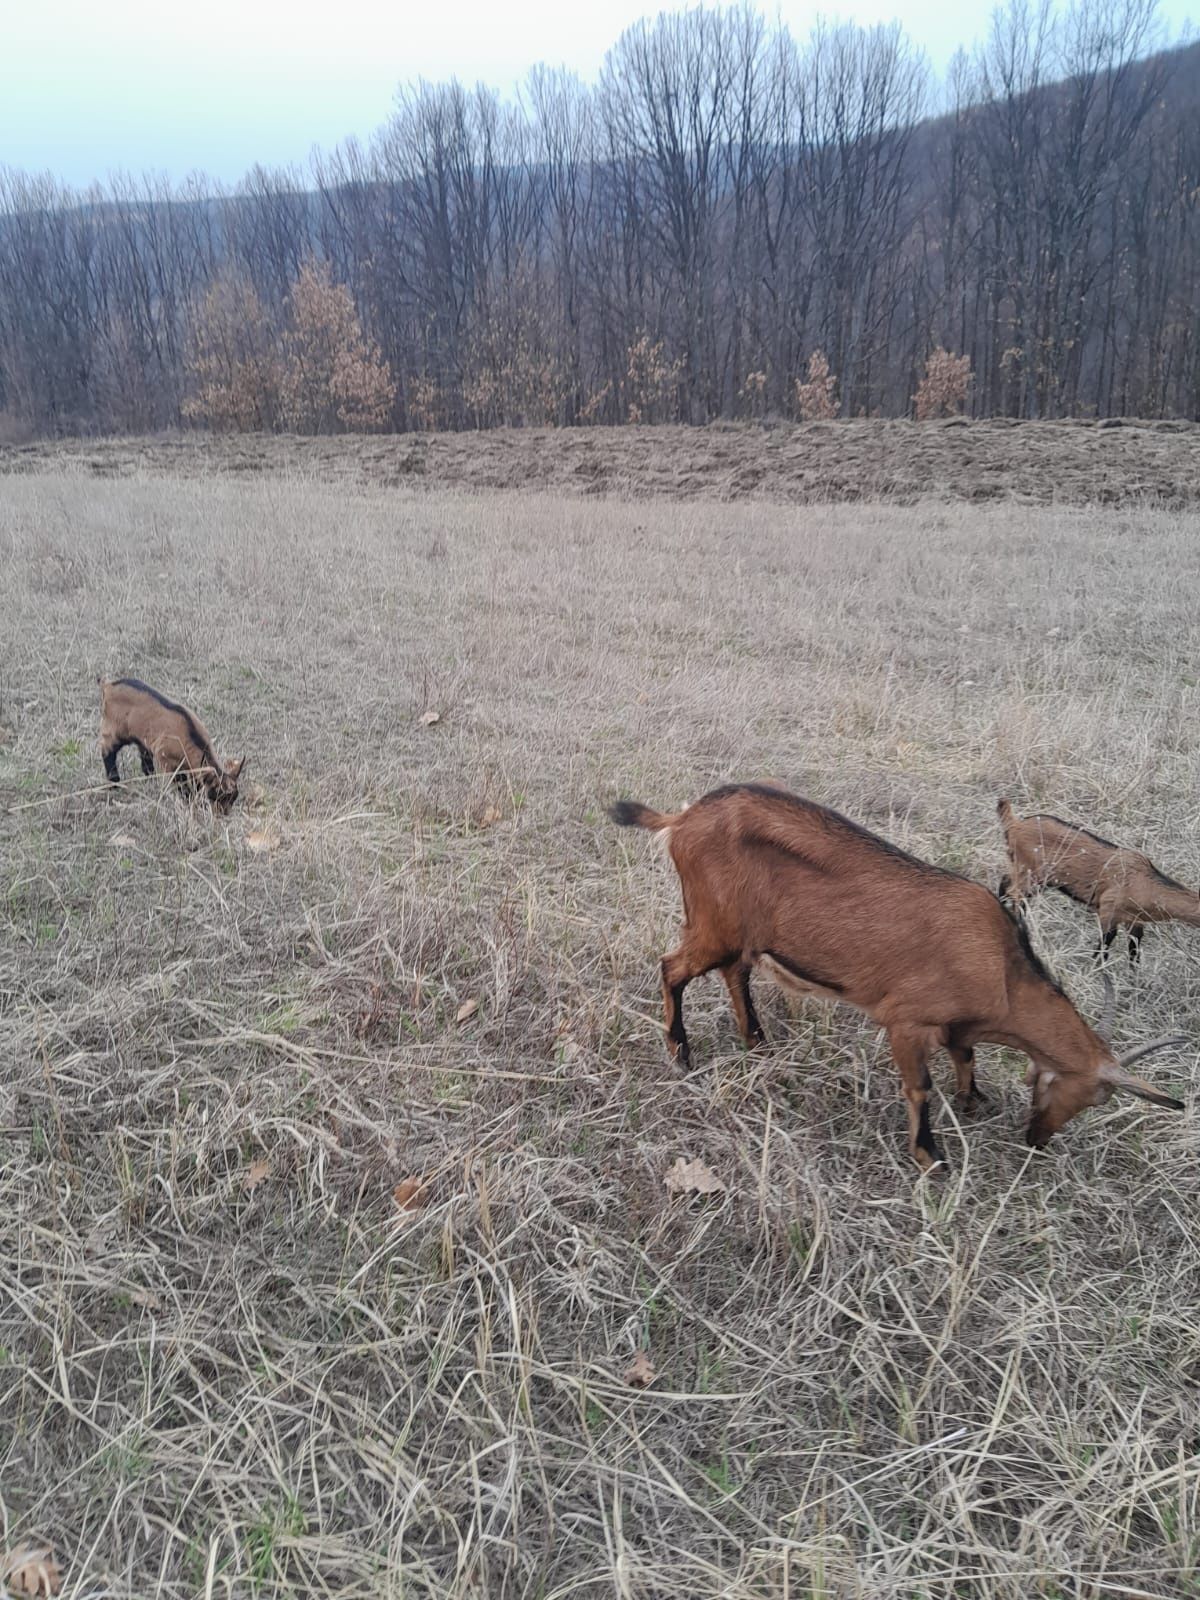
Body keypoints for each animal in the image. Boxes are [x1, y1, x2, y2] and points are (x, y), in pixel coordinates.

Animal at [98, 675, 244, 812]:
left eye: (234, 797)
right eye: (216, 794)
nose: (224, 814)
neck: (190, 733)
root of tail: (108, 685)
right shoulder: (166, 759)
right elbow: (180, 783)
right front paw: (188, 798)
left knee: (145, 759)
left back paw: (151, 780)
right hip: (114, 728)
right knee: (107, 750)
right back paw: (114, 782)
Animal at [998, 796, 1200, 960]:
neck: (1147, 884)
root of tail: (1015, 824)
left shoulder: (1135, 921)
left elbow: (1134, 952)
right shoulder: (1108, 909)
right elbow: (1104, 948)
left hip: (1029, 874)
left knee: (1006, 882)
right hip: (1029, 874)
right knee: (1016, 896)